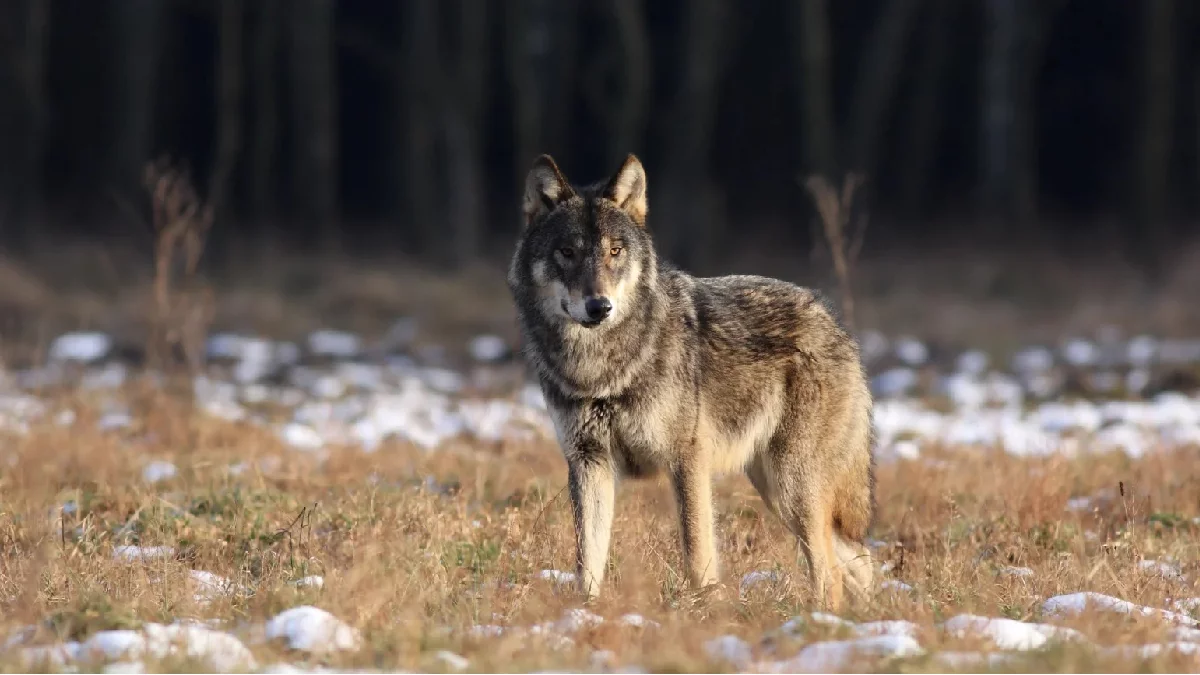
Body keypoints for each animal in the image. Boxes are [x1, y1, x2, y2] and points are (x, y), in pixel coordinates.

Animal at [501, 153, 878, 610]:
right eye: (567, 253)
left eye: (614, 251)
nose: (599, 306)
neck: (601, 369)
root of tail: (834, 321)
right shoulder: (588, 462)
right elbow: (587, 559)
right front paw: (585, 612)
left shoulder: (687, 460)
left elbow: (697, 553)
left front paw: (702, 611)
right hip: (776, 490)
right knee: (861, 561)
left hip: (792, 489)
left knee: (833, 573)